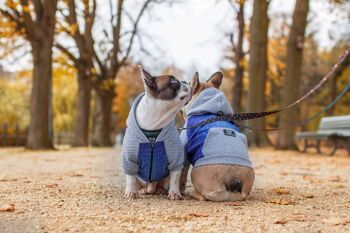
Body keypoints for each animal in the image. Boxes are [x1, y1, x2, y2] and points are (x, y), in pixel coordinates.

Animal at [180, 72, 254, 202]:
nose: (184, 81)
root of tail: (234, 180)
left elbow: (182, 175)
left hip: (196, 173)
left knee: (204, 196)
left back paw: (192, 193)